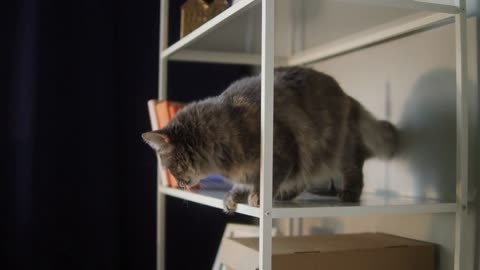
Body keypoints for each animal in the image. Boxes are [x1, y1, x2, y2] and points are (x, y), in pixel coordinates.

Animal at [142, 67, 398, 213]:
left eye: (171, 167)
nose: (179, 183)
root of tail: (348, 97)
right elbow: (242, 184)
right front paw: (233, 197)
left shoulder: (282, 152)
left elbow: (266, 179)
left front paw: (258, 196)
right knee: (302, 180)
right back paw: (284, 195)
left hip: (340, 150)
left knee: (354, 169)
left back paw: (349, 193)